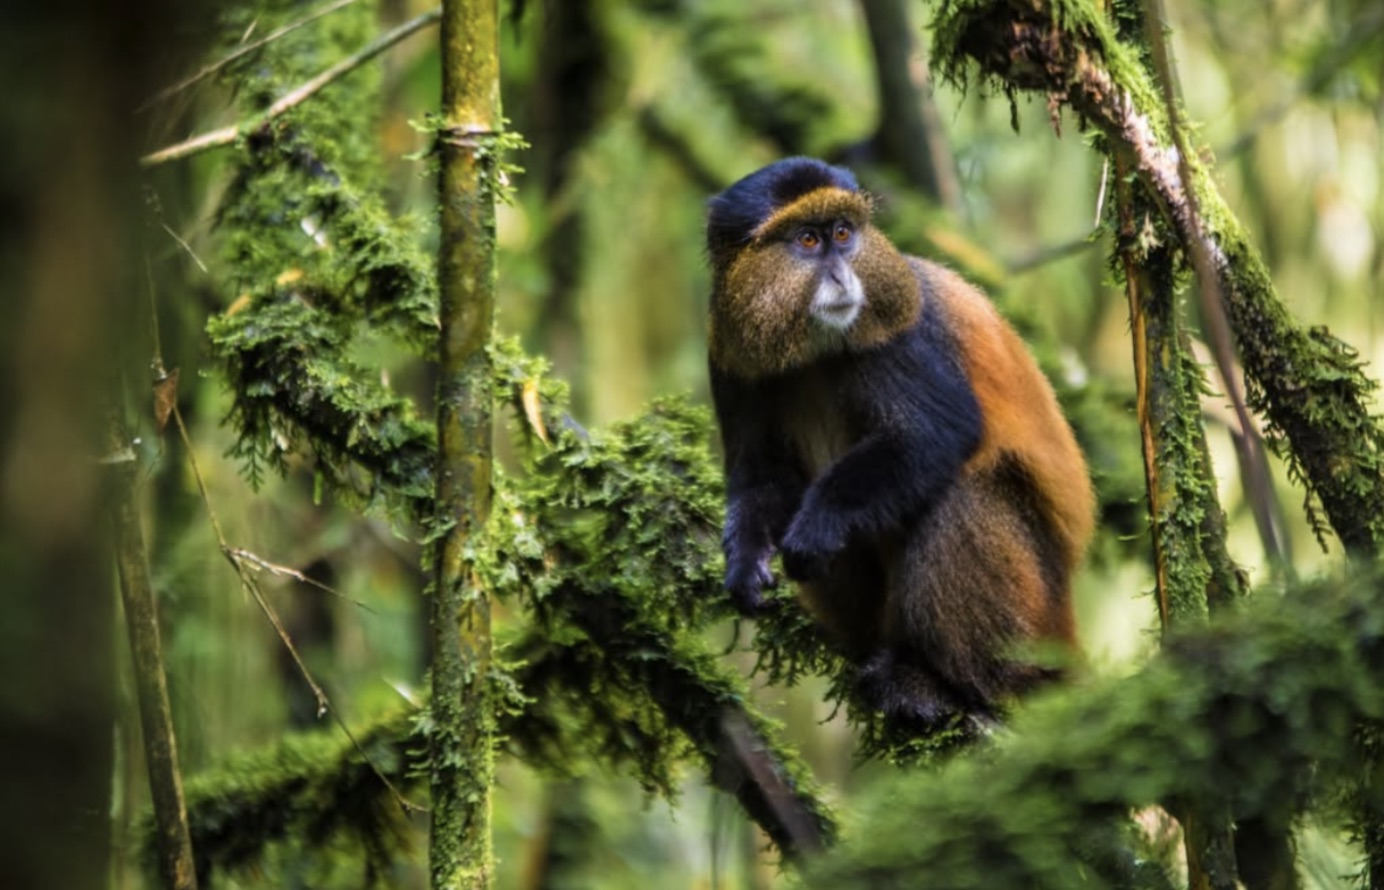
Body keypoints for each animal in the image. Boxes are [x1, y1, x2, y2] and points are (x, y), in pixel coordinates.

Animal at [705, 157, 1094, 727]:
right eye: (807, 240)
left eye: (844, 234)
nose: (843, 275)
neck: (815, 351)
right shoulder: (730, 357)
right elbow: (762, 475)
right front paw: (745, 561)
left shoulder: (898, 335)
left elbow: (935, 434)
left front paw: (818, 525)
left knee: (961, 492)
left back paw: (950, 685)